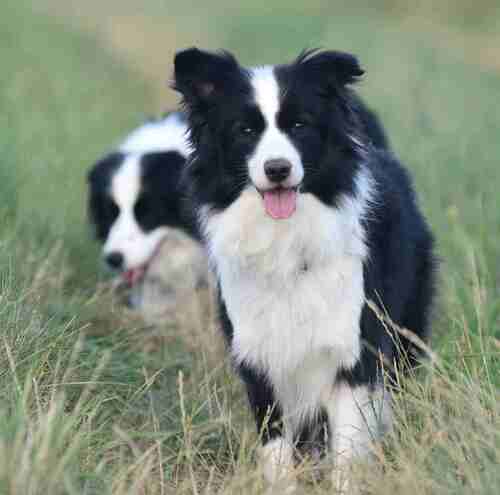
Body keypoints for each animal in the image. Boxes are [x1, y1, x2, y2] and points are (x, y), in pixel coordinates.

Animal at [174, 48, 436, 490]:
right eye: (245, 130)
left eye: (300, 125)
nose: (278, 169)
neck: (285, 243)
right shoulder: (259, 359)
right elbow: (276, 449)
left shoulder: (354, 351)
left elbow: (348, 450)